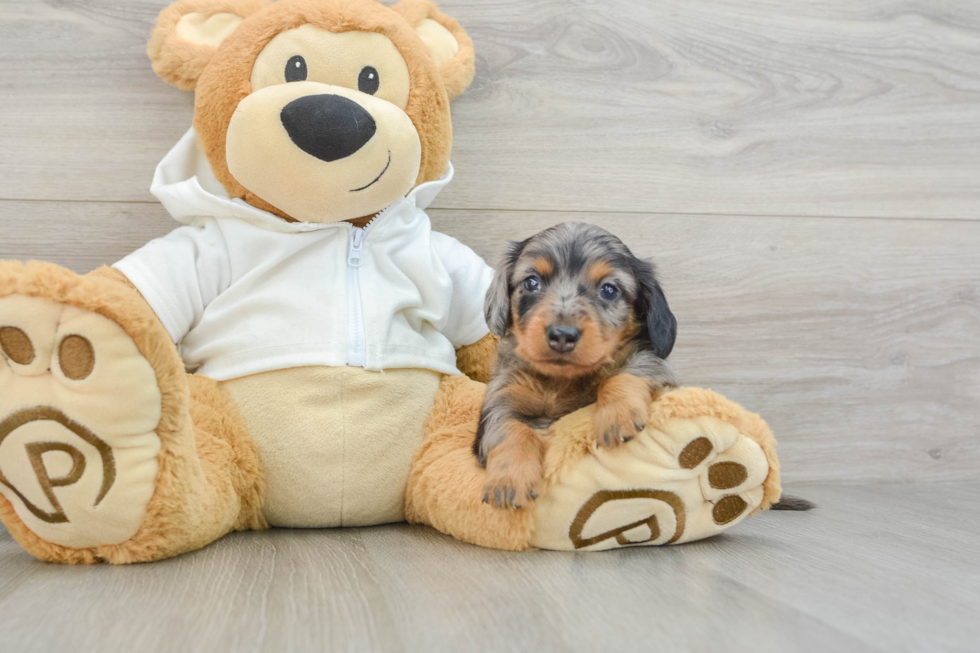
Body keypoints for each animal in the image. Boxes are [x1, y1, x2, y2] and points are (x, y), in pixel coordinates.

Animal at [476, 224, 676, 510]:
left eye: (609, 290)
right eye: (532, 282)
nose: (562, 335)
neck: (564, 381)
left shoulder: (656, 367)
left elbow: (630, 370)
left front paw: (618, 416)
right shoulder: (501, 397)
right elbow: (510, 427)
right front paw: (510, 479)